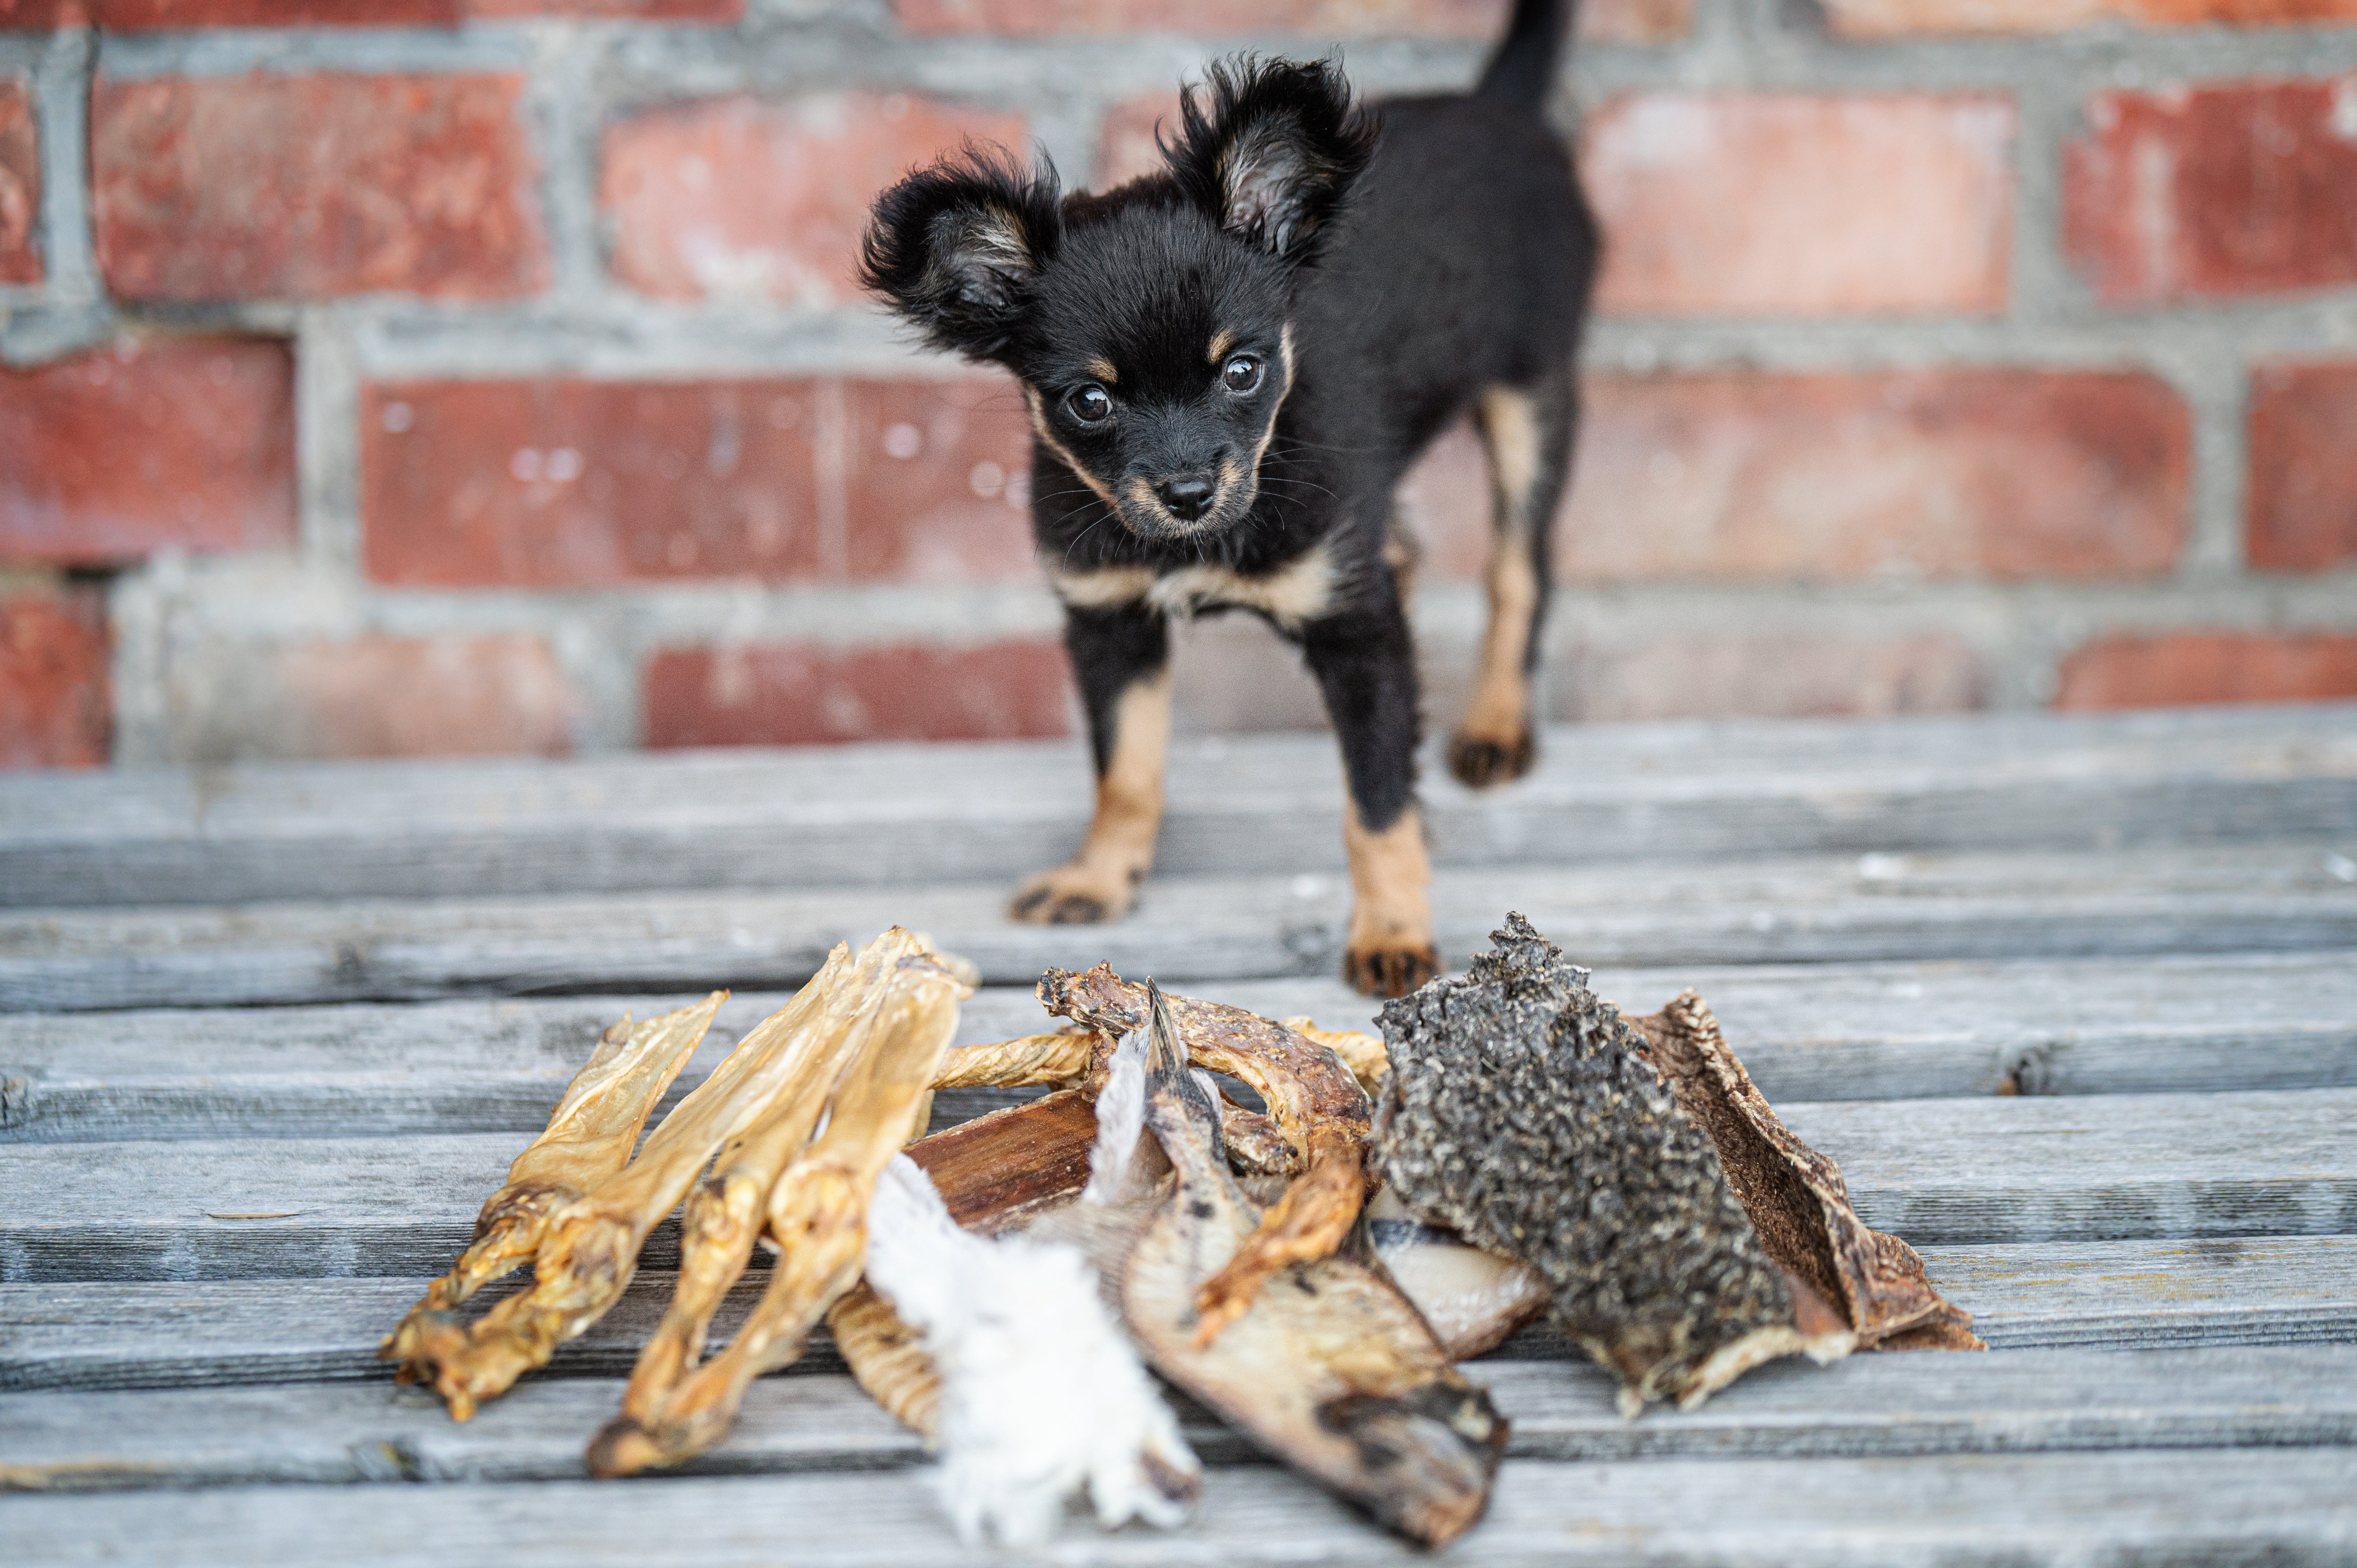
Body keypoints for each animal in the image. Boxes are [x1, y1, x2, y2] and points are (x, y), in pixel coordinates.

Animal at [863, 0, 1602, 995]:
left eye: (1242, 371)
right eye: (1089, 401)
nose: (1186, 492)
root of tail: (1496, 105)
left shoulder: (1358, 634)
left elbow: (1376, 801)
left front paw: (1394, 931)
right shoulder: (1110, 623)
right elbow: (1126, 770)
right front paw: (1101, 878)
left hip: (1533, 394)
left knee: (1521, 566)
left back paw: (1496, 724)